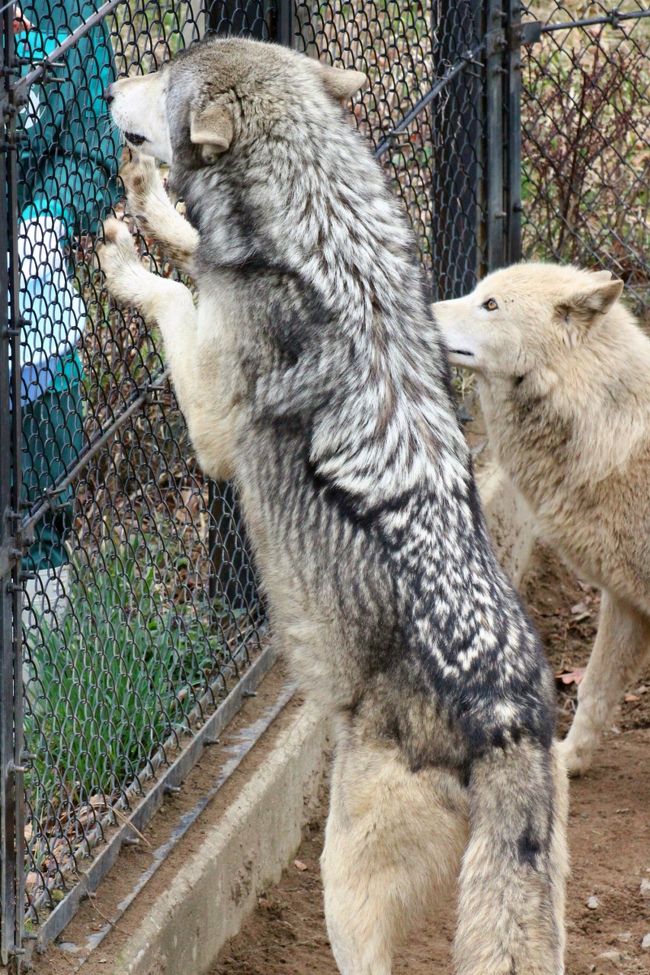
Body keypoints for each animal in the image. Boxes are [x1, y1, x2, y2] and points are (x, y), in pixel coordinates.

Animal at [97, 36, 568, 968]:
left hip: (341, 883)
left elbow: (173, 293)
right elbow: (191, 250)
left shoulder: (214, 430)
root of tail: (510, 720)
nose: (109, 86)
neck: (319, 221)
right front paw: (152, 203)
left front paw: (127, 263)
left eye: (160, 78)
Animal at [432, 262, 648, 776]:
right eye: (477, 292)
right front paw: (569, 760)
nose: (421, 310)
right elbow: (593, 690)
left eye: (490, 305)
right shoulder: (624, 601)